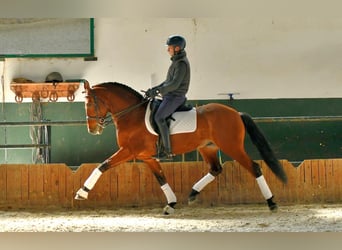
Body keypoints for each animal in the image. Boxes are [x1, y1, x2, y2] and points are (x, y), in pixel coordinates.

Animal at [75, 81, 286, 214]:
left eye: (89, 103)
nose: (92, 130)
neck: (132, 115)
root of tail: (235, 113)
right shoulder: (147, 157)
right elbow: (161, 179)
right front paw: (171, 204)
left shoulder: (129, 151)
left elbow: (102, 165)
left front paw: (82, 192)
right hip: (208, 147)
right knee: (216, 169)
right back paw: (192, 193)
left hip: (232, 147)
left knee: (254, 168)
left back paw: (272, 203)